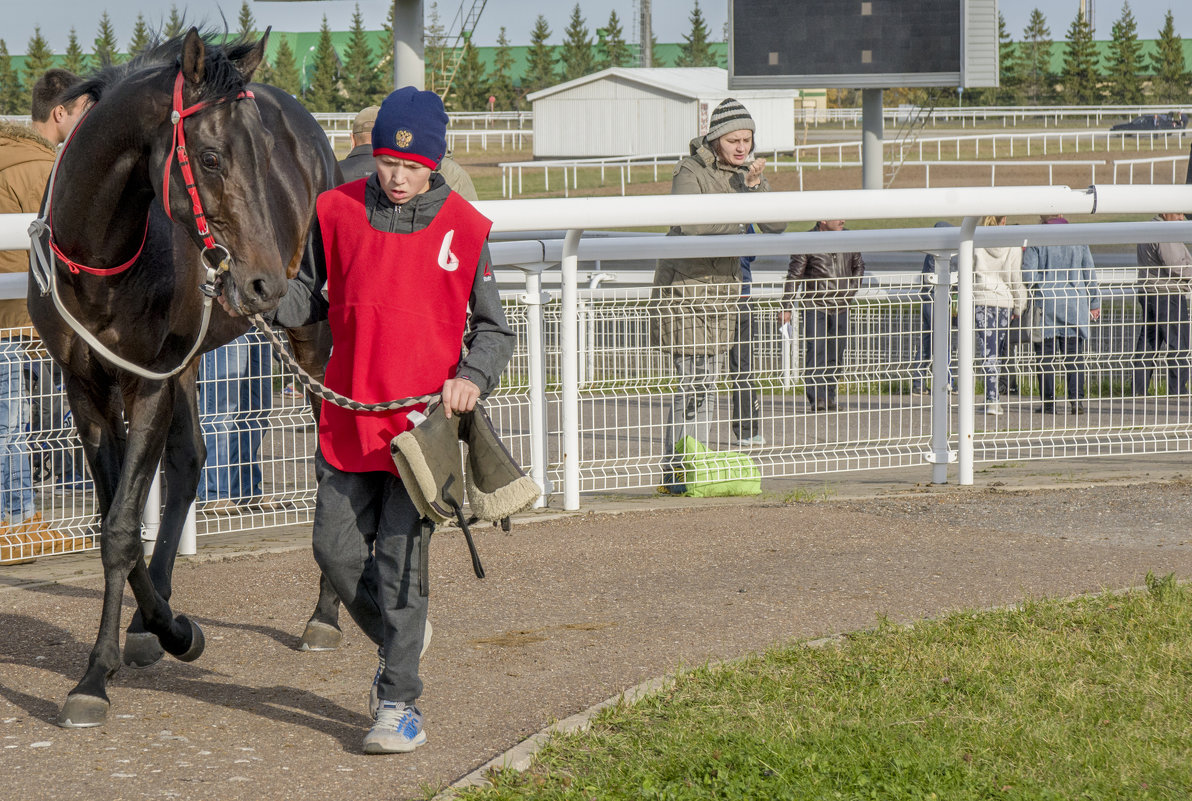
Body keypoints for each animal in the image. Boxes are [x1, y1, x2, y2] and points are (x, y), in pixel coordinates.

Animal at [29, 31, 336, 729]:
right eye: (213, 156)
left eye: (265, 156)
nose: (263, 282)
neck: (102, 259)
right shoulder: (86, 384)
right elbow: (118, 514)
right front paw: (158, 627)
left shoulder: (146, 382)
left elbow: (120, 527)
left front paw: (98, 674)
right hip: (189, 361)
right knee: (190, 459)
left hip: (310, 334)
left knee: (335, 458)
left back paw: (326, 613)